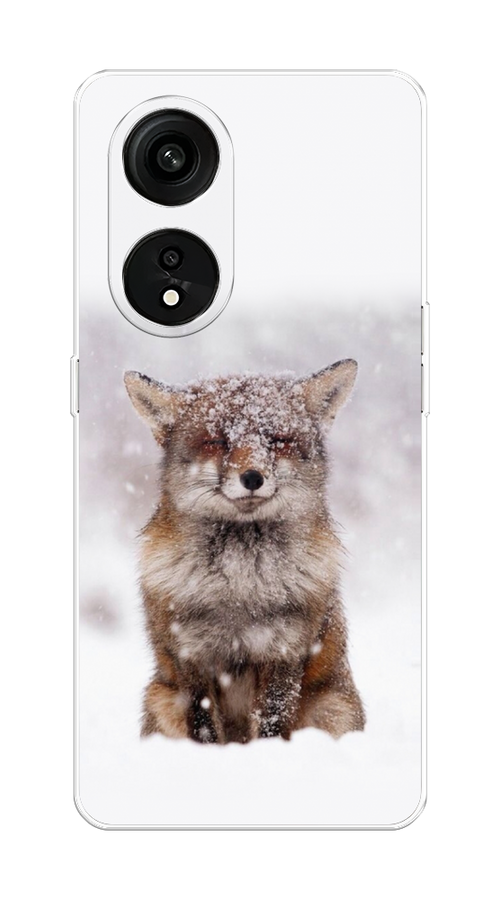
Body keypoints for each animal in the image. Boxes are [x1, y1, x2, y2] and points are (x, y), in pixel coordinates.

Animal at [124, 360, 365, 744]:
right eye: (217, 441)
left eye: (278, 440)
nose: (252, 477)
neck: (239, 585)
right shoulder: (190, 655)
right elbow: (204, 727)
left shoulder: (284, 651)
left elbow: (272, 724)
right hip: (160, 697)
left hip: (332, 708)